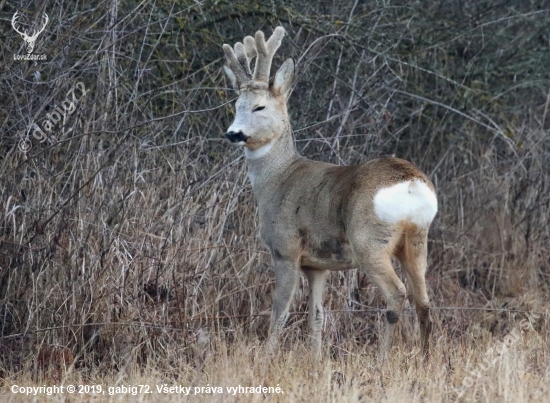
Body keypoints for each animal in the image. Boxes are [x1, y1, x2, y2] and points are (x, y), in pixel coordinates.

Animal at [222, 26, 438, 360]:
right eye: (236, 106)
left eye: (260, 107)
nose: (233, 133)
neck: (277, 178)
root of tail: (411, 183)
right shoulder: (317, 265)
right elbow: (317, 315)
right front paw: (315, 360)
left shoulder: (285, 248)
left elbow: (279, 311)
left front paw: (267, 358)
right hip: (416, 239)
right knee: (423, 300)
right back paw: (426, 359)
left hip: (369, 240)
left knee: (396, 294)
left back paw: (382, 359)